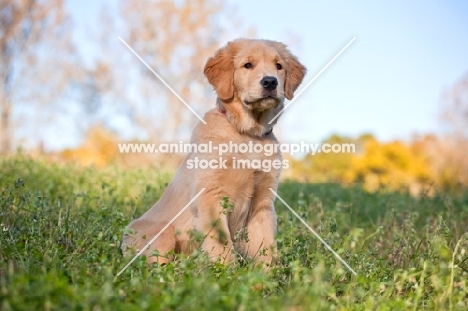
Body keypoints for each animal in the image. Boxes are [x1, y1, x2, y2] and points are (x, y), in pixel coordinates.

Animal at [122, 38, 306, 268]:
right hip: (163, 236)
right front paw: (226, 272)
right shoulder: (210, 197)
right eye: (247, 65)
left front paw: (270, 273)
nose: (270, 82)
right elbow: (221, 244)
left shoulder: (262, 203)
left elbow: (266, 247)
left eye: (279, 66)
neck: (248, 135)